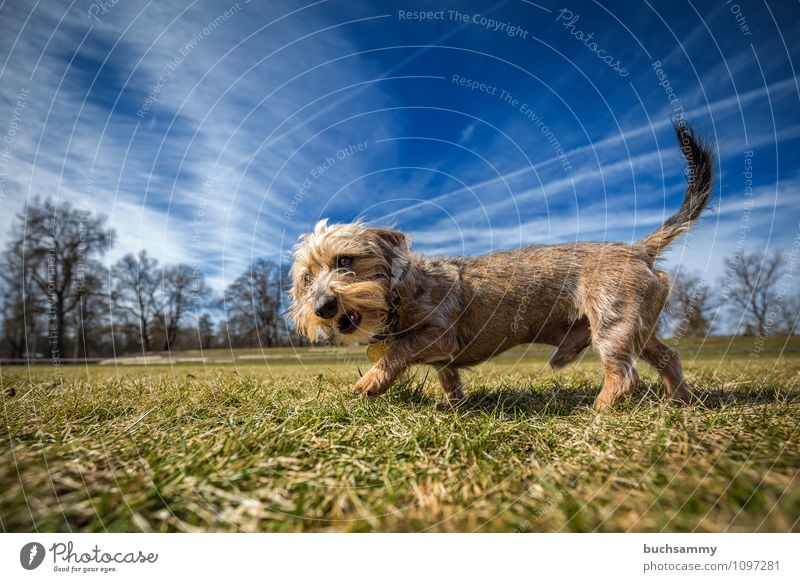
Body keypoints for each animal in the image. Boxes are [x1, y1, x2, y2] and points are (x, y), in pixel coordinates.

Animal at [290, 122, 716, 410]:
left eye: (345, 261)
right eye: (307, 279)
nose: (323, 307)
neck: (401, 292)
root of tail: (637, 250)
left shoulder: (438, 336)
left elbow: (397, 352)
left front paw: (370, 383)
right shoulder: (444, 357)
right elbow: (448, 378)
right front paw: (454, 405)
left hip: (612, 325)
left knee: (623, 376)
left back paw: (597, 410)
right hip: (637, 328)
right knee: (668, 357)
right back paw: (681, 400)